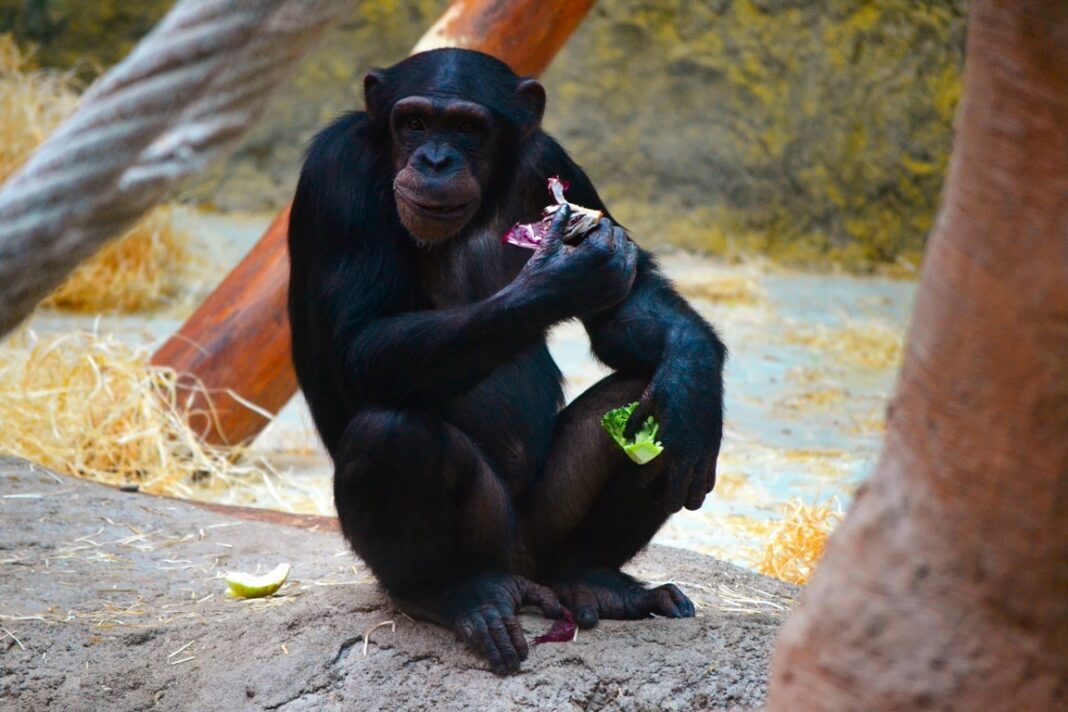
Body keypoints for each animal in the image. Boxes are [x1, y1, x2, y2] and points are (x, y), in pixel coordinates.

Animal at [288, 48, 726, 674]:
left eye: (468, 129)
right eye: (414, 123)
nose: (436, 159)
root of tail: (524, 571)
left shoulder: (554, 161)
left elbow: (629, 310)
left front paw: (695, 390)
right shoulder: (338, 171)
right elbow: (359, 341)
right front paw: (560, 279)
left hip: (546, 528)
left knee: (640, 399)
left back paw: (597, 581)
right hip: (490, 537)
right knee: (390, 434)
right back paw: (448, 593)